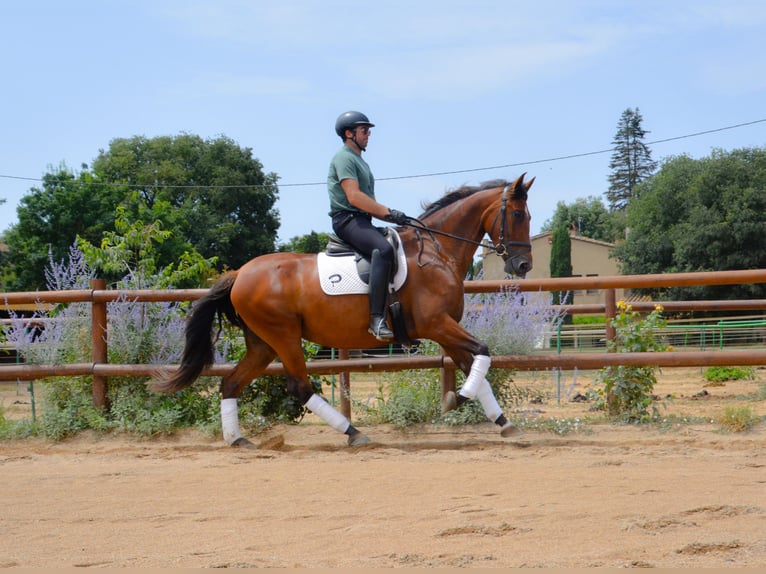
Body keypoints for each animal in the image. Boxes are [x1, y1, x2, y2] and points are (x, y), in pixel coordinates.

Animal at [151, 173, 534, 447]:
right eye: (517, 214)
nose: (523, 265)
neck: (437, 252)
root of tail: (240, 274)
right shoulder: (437, 324)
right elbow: (483, 352)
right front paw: (458, 399)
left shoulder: (445, 330)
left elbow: (475, 365)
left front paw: (504, 423)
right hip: (283, 336)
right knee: (299, 387)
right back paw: (353, 433)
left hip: (262, 343)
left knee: (230, 383)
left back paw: (237, 439)